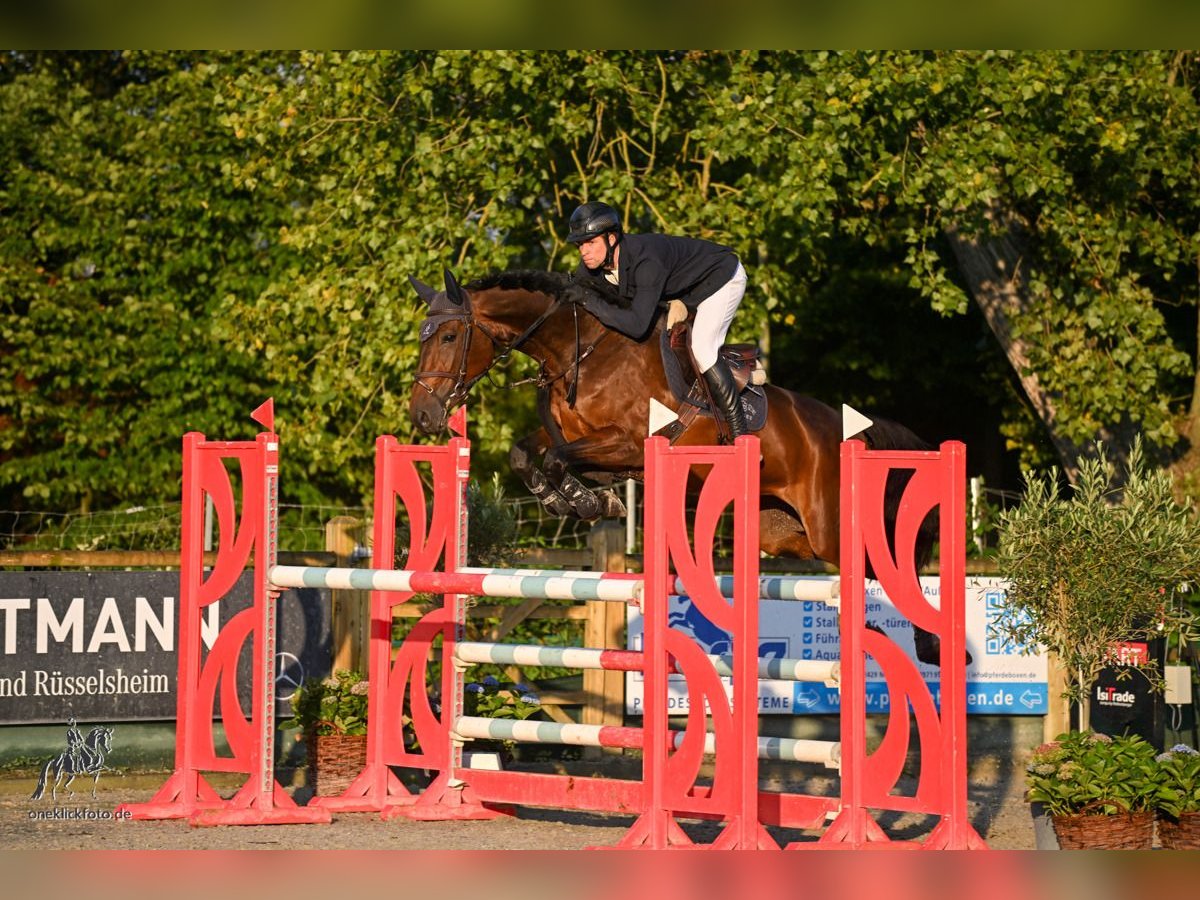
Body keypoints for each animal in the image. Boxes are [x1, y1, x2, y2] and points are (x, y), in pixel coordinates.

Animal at [405, 267, 936, 571]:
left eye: (449, 337)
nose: (423, 415)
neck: (581, 351)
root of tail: (844, 431)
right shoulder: (573, 435)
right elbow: (526, 453)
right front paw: (570, 502)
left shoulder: (627, 444)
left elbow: (557, 458)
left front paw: (590, 502)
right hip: (786, 533)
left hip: (829, 528)